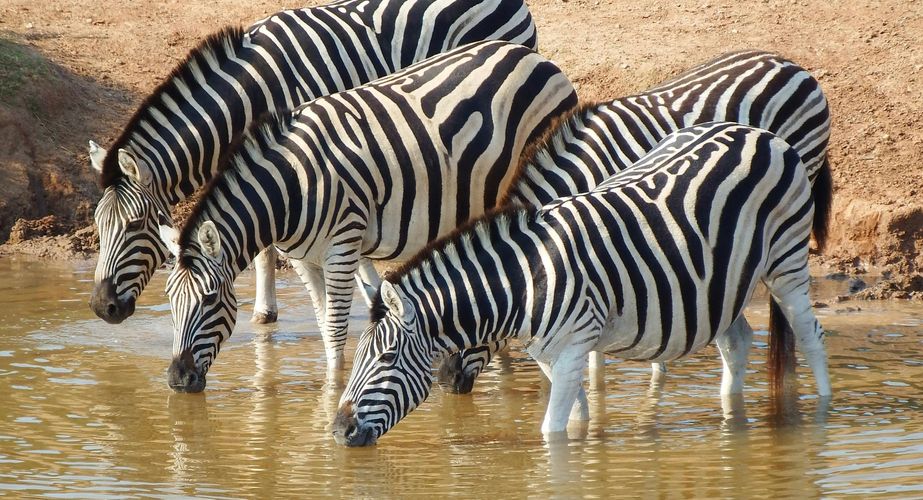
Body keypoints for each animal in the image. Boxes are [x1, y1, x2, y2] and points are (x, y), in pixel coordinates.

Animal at [87, 0, 539, 326]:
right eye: (97, 225)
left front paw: (268, 309)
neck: (247, 95)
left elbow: (272, 246)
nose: (100, 308)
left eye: (134, 225)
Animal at [155, 40, 578, 392]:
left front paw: (332, 391)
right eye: (170, 300)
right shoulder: (303, 258)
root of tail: (535, 56)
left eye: (210, 299)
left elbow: (336, 329)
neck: (290, 188)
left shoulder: (342, 247)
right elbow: (324, 324)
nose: (177, 379)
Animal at [332, 121, 832, 446]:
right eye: (357, 357)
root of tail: (760, 133)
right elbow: (576, 420)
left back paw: (823, 415)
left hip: (786, 260)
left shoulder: (574, 346)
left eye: (387, 358)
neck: (525, 279)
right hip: (721, 284)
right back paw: (732, 417)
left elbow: (551, 432)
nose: (338, 431)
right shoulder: (550, 355)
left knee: (809, 336)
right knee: (737, 341)